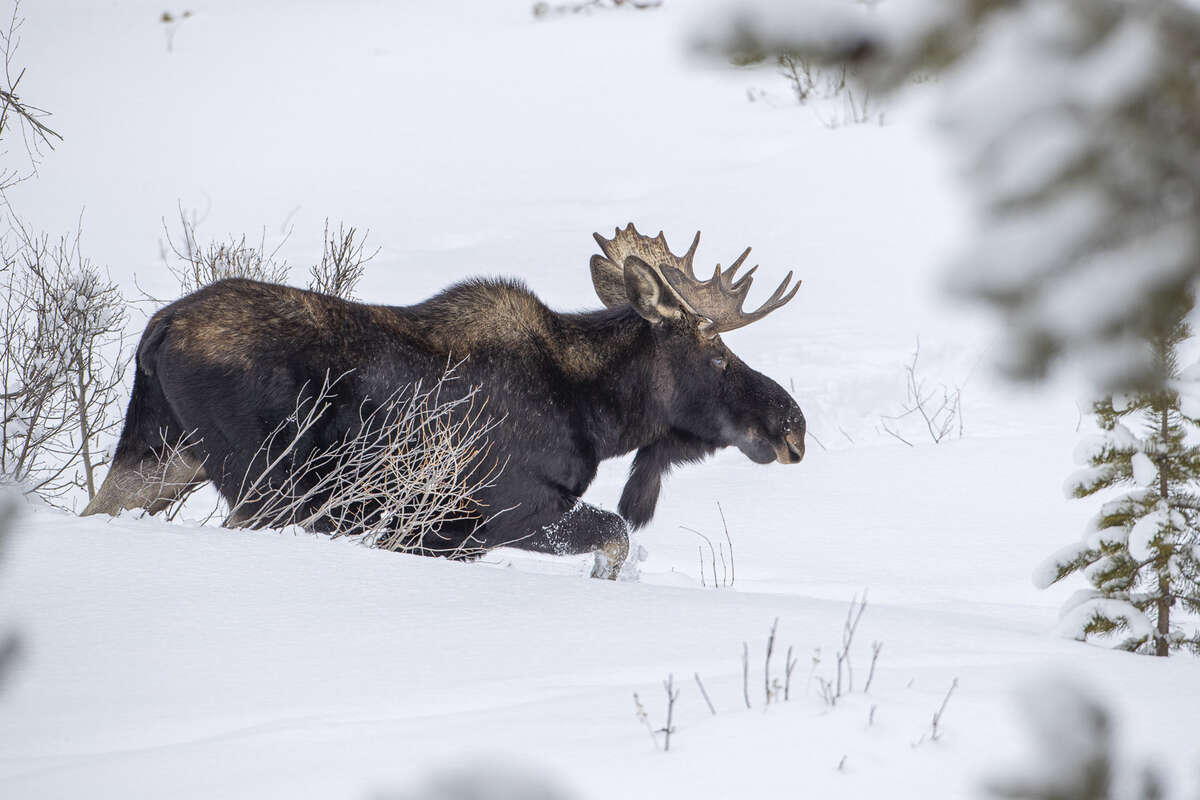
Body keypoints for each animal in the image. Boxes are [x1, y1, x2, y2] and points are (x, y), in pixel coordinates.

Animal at [84, 224, 806, 575]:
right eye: (716, 353)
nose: (792, 424)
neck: (599, 413)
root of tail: (159, 328)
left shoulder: (440, 536)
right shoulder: (503, 509)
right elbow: (617, 534)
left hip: (160, 454)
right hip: (269, 482)